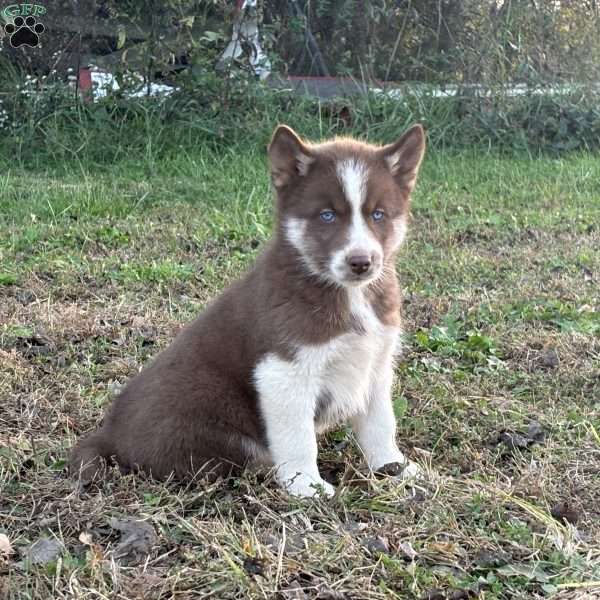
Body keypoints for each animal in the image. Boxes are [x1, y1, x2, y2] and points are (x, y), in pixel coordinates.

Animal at [70, 123, 426, 496]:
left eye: (378, 214)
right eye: (327, 215)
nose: (361, 262)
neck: (349, 294)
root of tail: (108, 434)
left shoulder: (375, 363)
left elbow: (381, 423)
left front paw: (394, 467)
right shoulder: (283, 370)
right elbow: (298, 438)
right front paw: (307, 486)